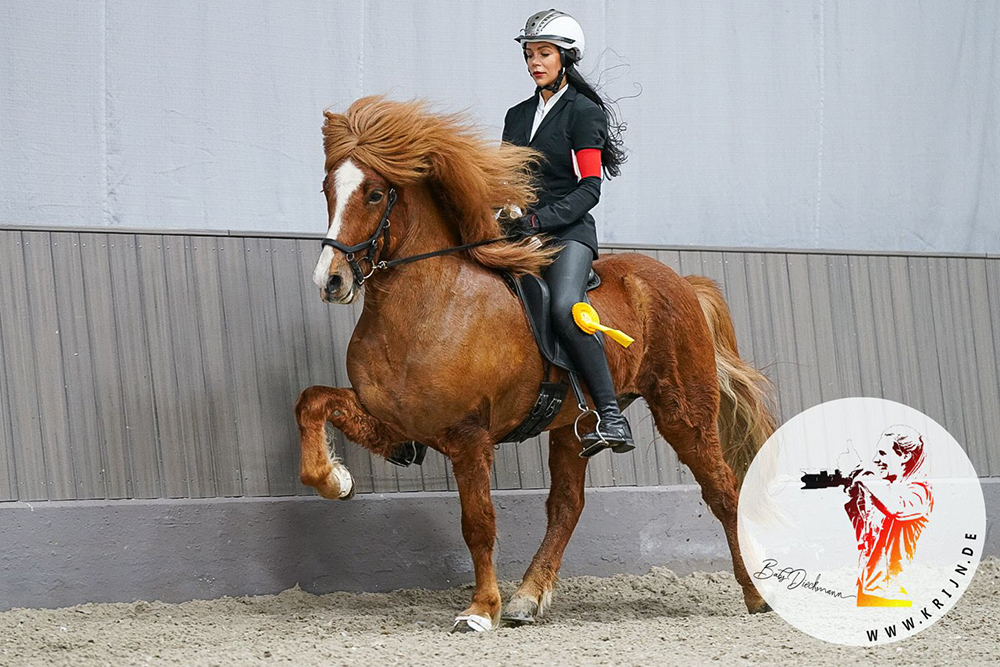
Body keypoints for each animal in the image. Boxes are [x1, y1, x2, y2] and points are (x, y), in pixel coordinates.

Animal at [292, 94, 776, 632]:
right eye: (328, 189)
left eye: (375, 194)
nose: (330, 281)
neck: (430, 305)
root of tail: (680, 282)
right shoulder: (397, 421)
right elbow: (311, 402)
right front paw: (336, 480)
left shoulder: (468, 436)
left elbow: (478, 523)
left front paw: (481, 611)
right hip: (573, 424)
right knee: (567, 505)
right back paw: (527, 596)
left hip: (683, 412)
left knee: (723, 491)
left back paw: (756, 595)